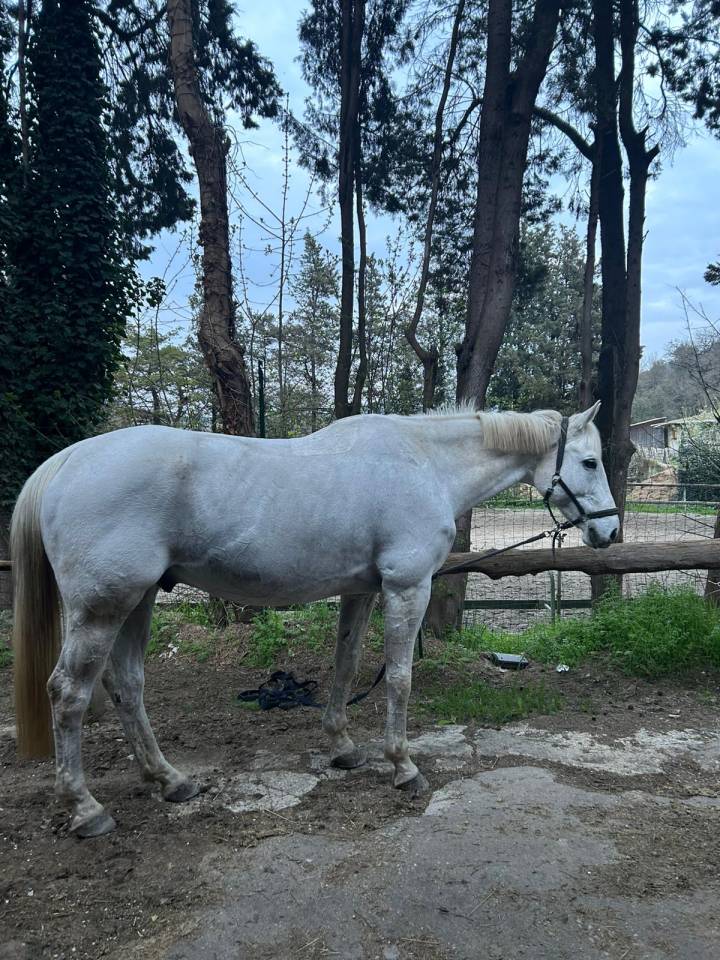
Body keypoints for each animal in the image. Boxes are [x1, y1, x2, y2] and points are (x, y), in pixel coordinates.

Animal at [10, 401, 618, 837]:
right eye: (590, 462)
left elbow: (345, 666)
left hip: (136, 603)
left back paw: (169, 780)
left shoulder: (361, 592)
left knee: (128, 687)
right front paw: (403, 766)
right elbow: (399, 678)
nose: (610, 530)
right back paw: (86, 809)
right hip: (103, 608)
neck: (423, 464)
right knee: (68, 693)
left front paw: (343, 747)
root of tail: (69, 460)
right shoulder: (407, 588)